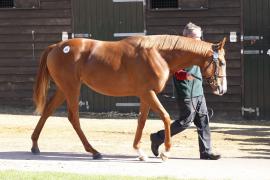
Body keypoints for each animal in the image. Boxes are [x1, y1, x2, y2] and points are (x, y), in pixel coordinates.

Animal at [31, 35, 226, 160]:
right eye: (222, 62)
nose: (221, 89)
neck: (158, 53)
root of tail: (56, 47)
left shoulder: (145, 94)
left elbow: (141, 121)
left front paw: (140, 152)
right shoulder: (148, 92)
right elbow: (165, 116)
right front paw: (165, 152)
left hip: (64, 88)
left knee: (47, 111)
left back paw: (35, 146)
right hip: (72, 88)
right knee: (73, 118)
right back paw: (94, 151)